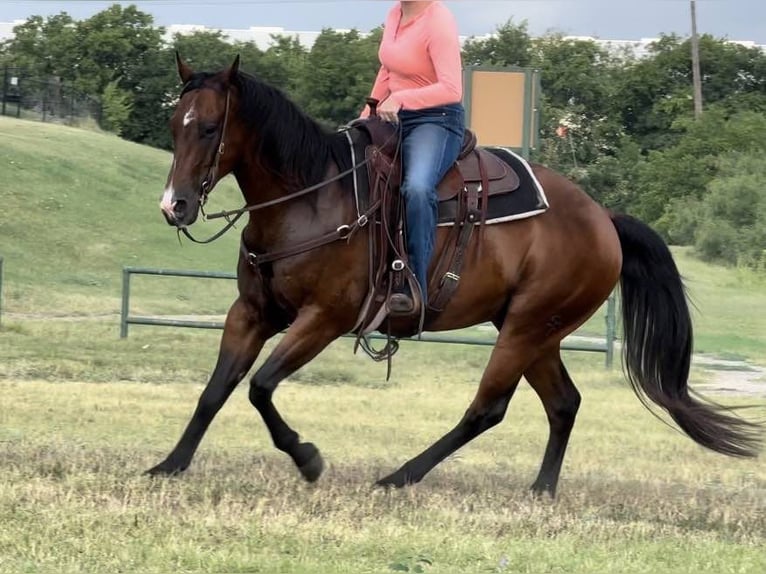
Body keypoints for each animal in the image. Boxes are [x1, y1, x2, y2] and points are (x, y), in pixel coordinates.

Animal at [149, 54, 762, 496]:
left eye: (210, 128)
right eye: (173, 125)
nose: (174, 206)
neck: (311, 198)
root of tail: (604, 219)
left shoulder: (324, 318)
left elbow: (260, 387)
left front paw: (308, 460)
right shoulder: (251, 313)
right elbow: (216, 390)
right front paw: (169, 464)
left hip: (525, 330)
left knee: (487, 409)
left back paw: (400, 476)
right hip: (538, 333)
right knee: (564, 403)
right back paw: (540, 490)